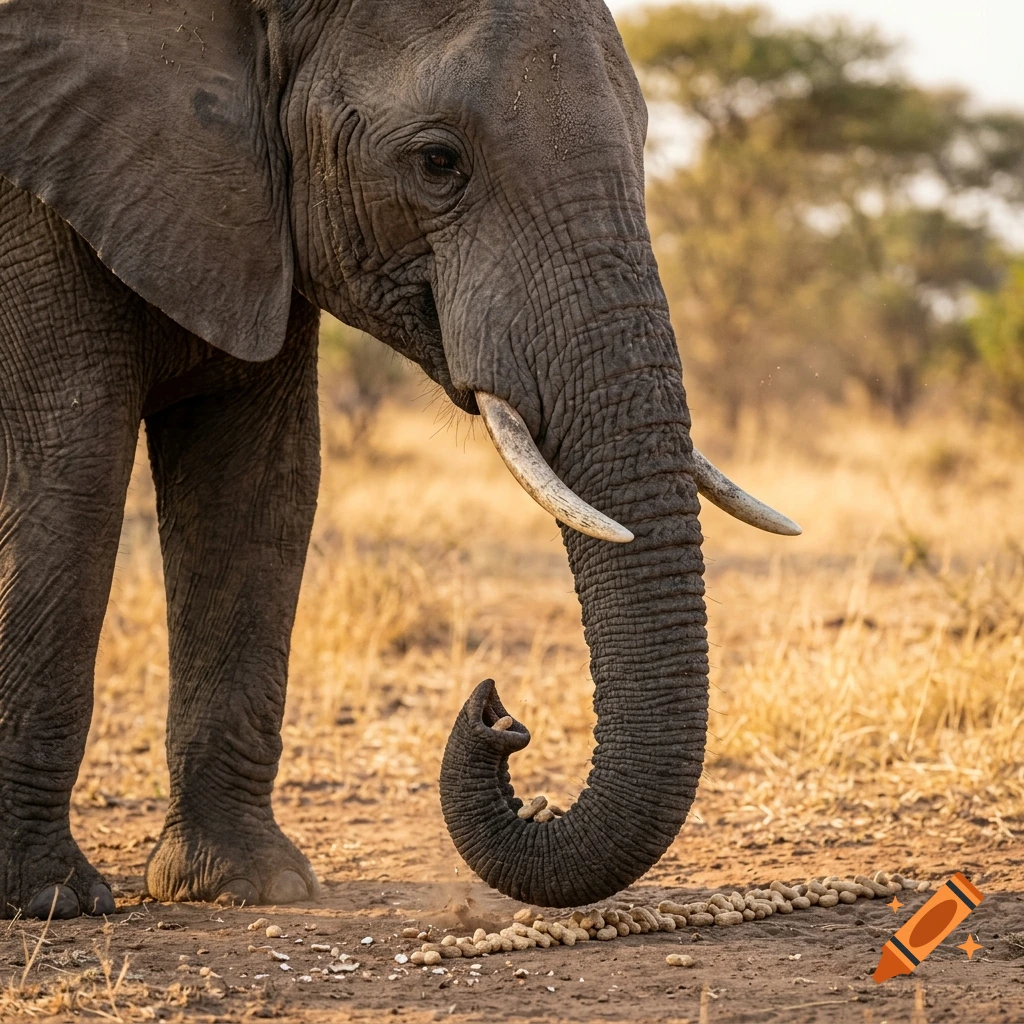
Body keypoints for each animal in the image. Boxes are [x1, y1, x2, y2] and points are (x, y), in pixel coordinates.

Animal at [0, 0, 800, 919]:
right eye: (437, 162)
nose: (498, 715)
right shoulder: (32, 211)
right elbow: (71, 468)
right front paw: (48, 899)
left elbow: (258, 483)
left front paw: (251, 885)